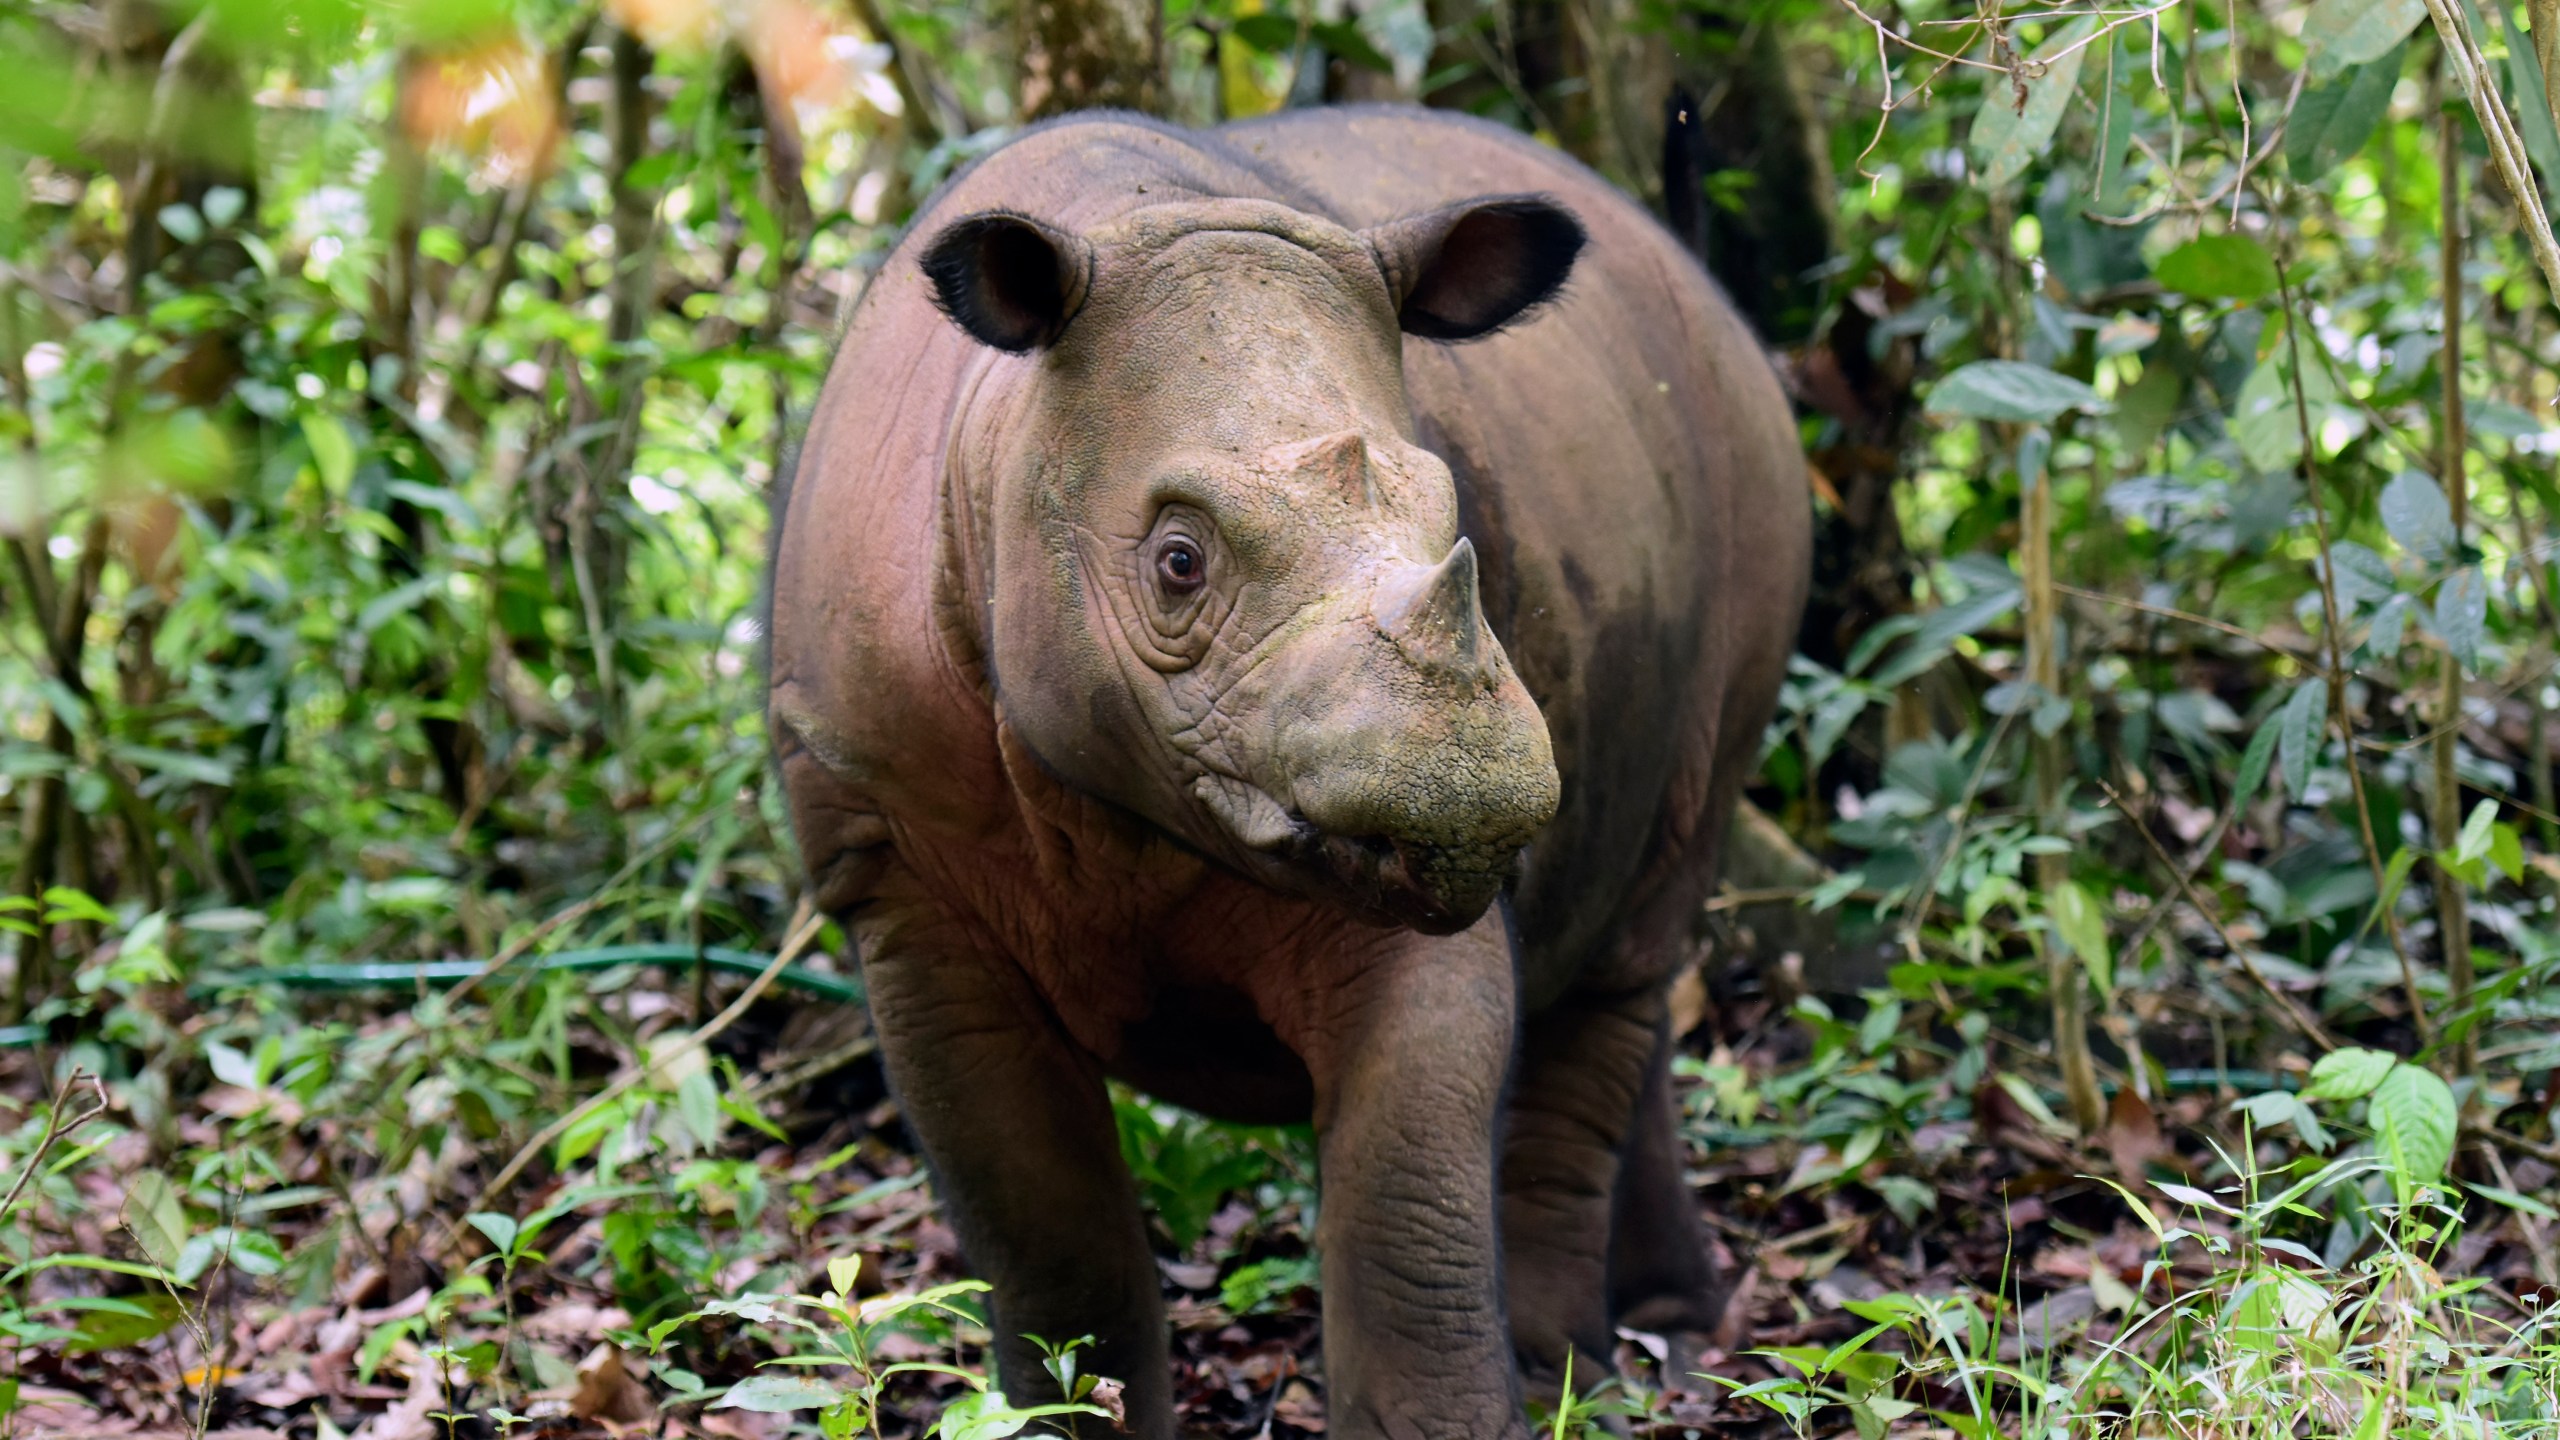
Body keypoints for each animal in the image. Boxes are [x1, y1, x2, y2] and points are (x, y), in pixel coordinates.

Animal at [768, 109, 1812, 1434]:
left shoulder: (1392, 865)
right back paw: (1658, 1333)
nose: (1472, 794)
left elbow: (1408, 1221)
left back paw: (1587, 1366)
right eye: (1176, 562)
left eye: (1453, 520)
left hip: (1757, 469)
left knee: (1642, 930)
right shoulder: (896, 870)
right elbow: (1046, 1239)